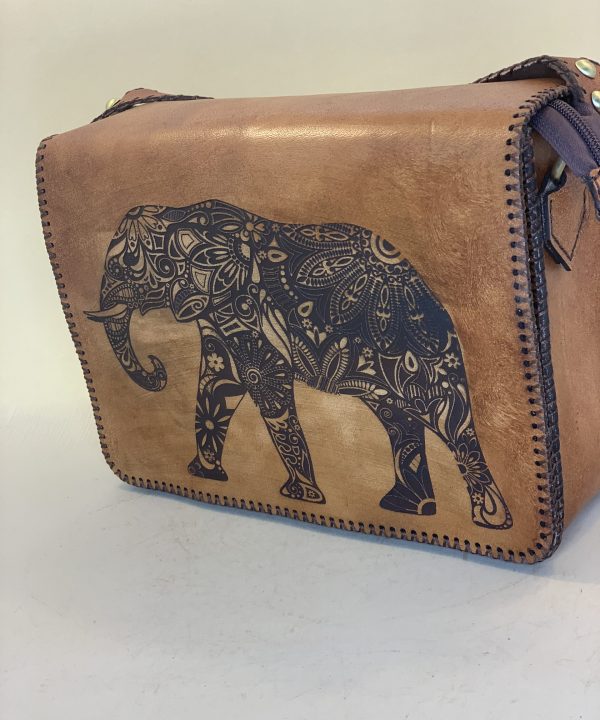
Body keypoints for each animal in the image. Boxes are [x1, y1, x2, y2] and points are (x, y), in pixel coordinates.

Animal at [86, 199, 513, 530]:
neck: (183, 212)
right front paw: (204, 474)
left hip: (418, 362)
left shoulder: (243, 303)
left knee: (447, 425)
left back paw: (489, 522)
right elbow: (220, 383)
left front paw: (301, 497)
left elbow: (261, 378)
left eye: (127, 265)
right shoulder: (214, 312)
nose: (158, 369)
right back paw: (406, 509)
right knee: (398, 420)